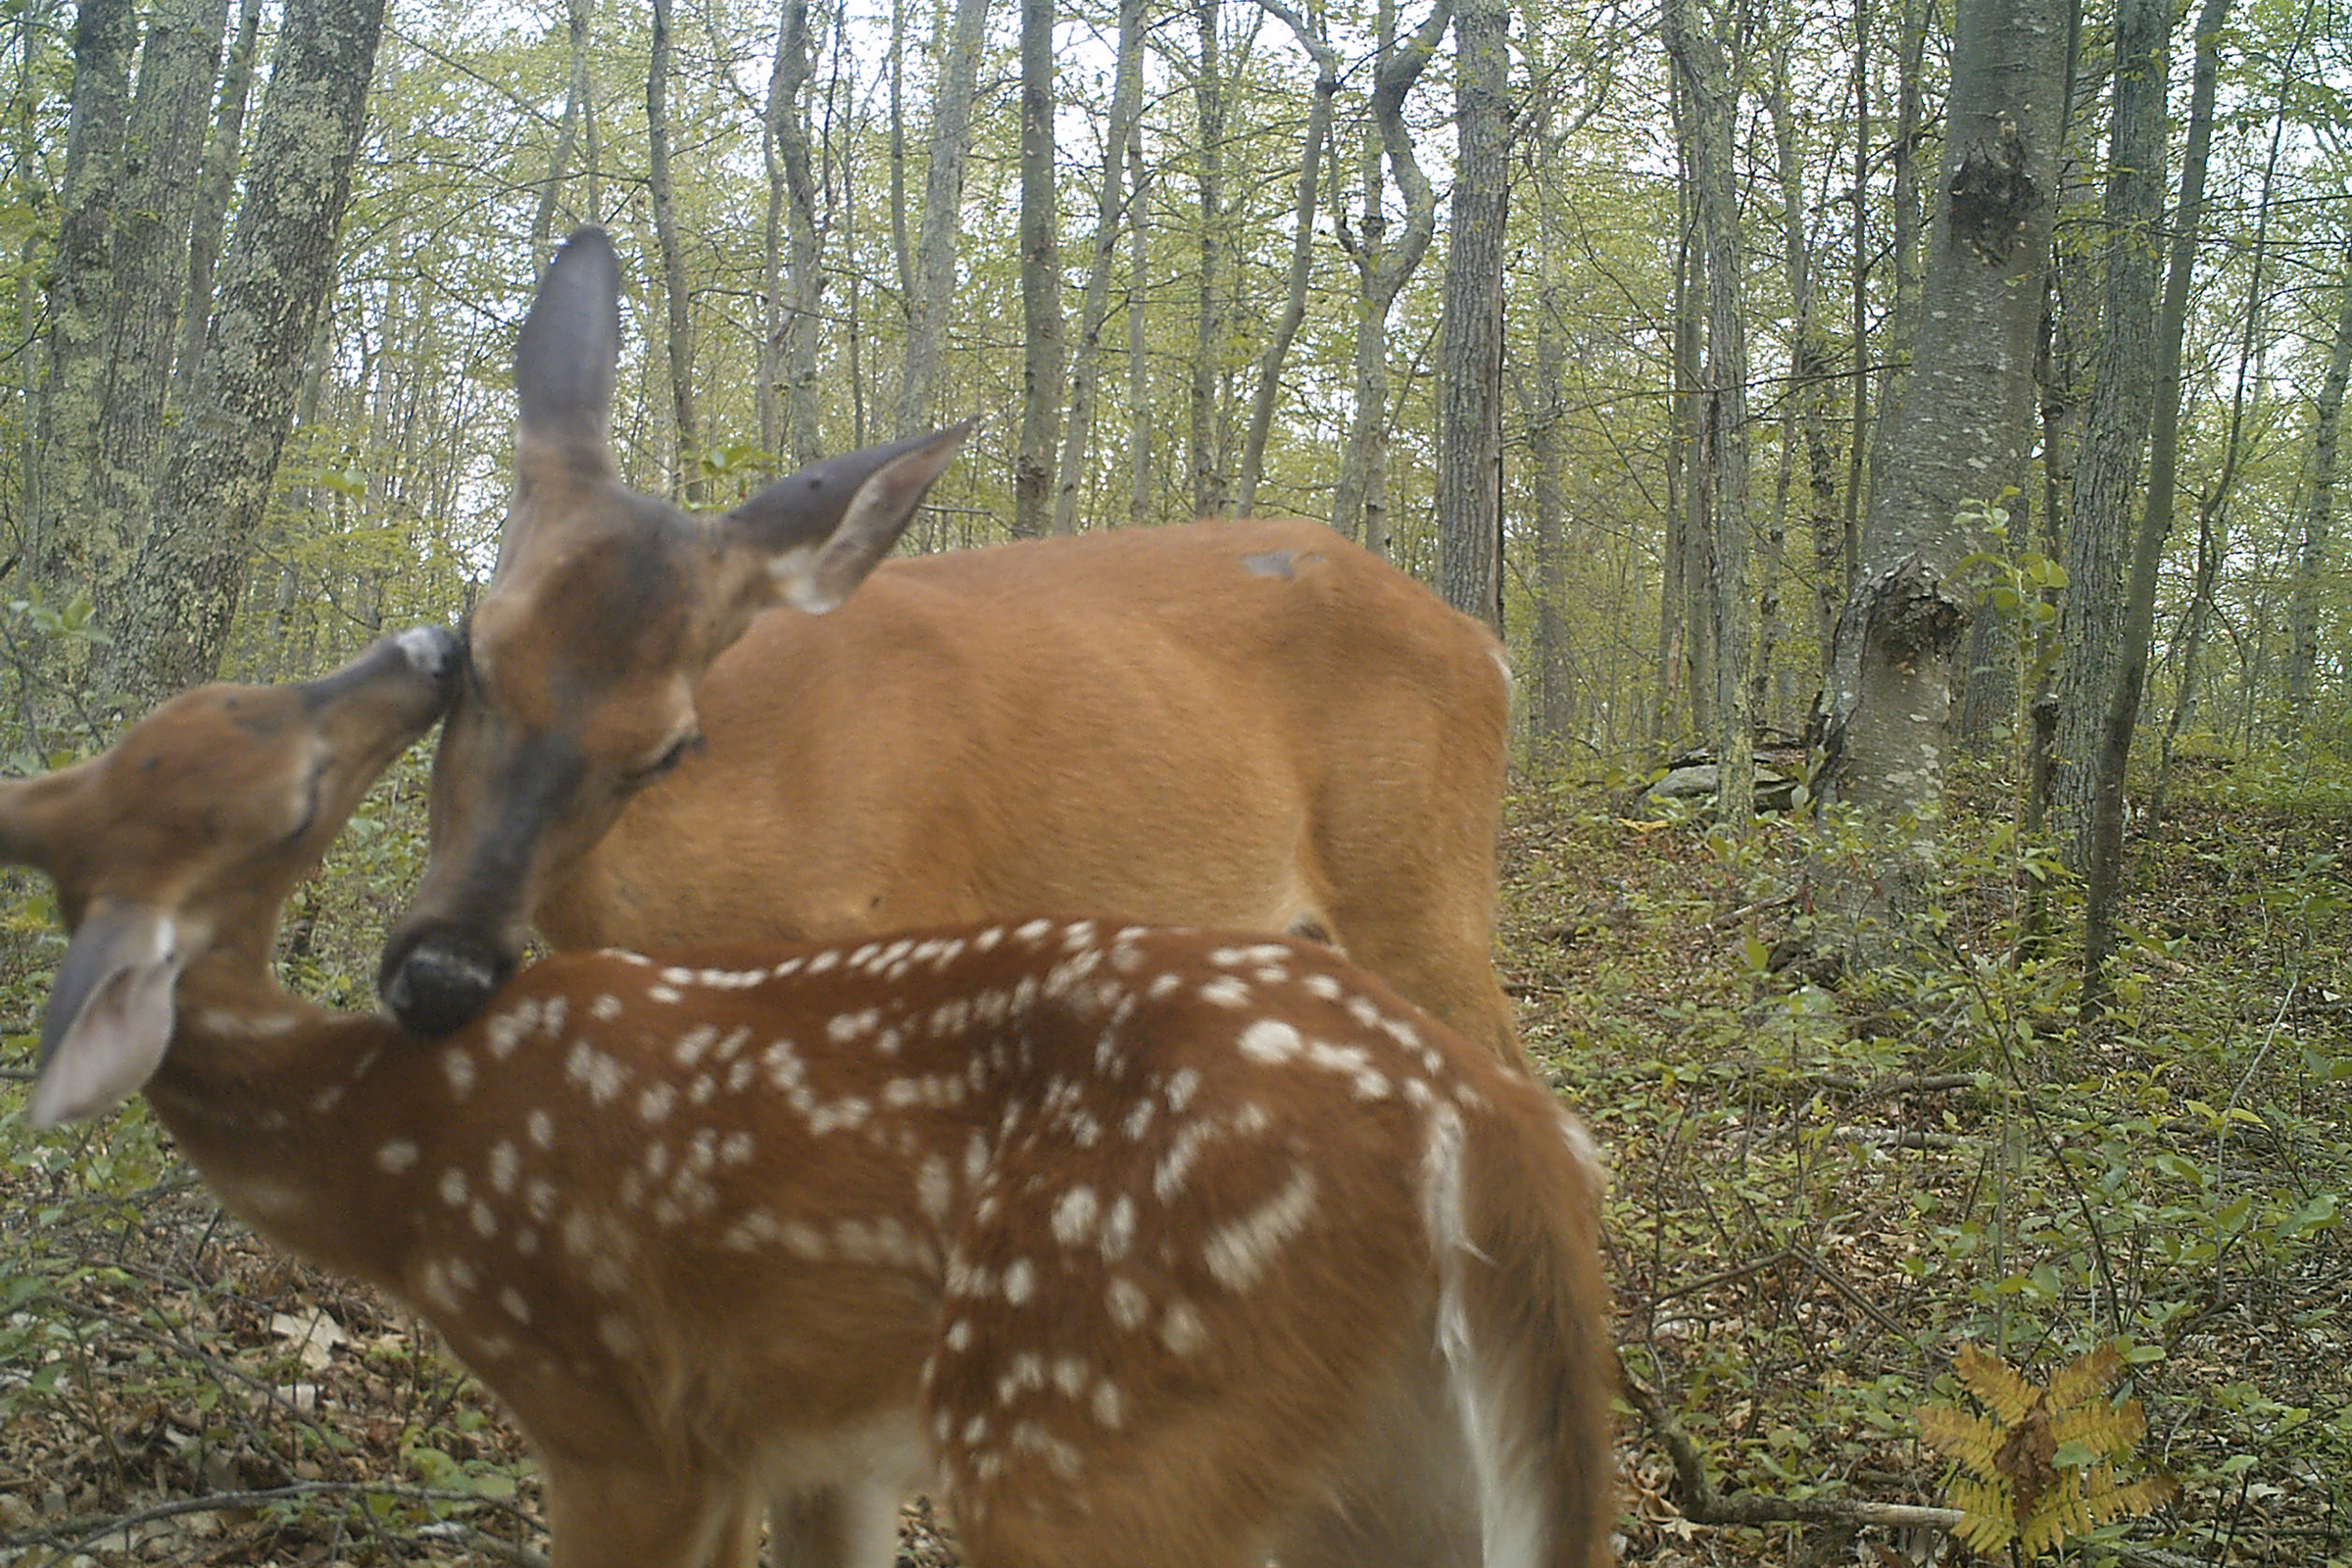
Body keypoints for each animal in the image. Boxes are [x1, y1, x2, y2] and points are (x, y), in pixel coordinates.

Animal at [4, 629, 1618, 1560]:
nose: (423, 643)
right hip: (1400, 1459)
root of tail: (1486, 1127)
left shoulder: (614, 1407)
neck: (390, 1151)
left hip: (1083, 1428)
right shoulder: (786, 1440)